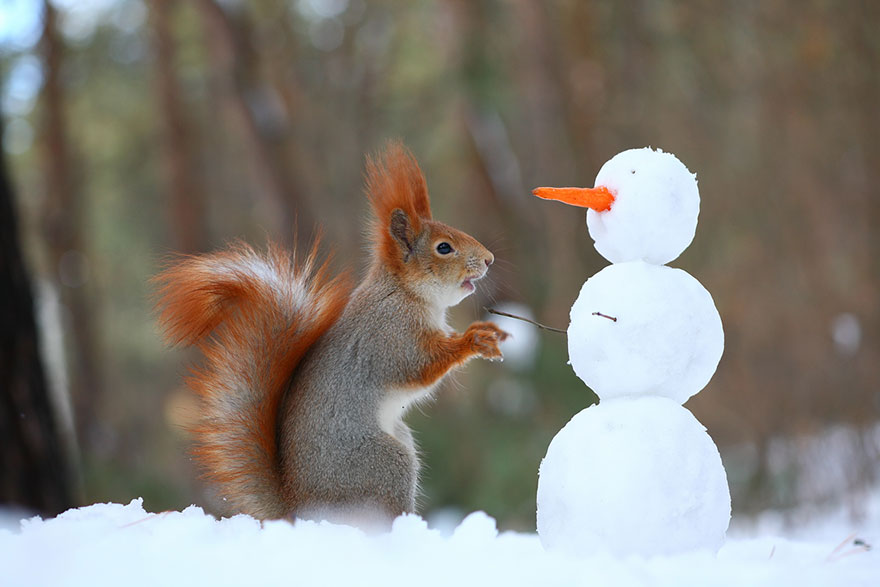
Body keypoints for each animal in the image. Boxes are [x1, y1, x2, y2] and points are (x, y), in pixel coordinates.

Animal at [154, 141, 509, 524]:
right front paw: (474, 340)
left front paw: (488, 330)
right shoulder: (390, 335)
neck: (405, 293)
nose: (489, 259)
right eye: (444, 247)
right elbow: (419, 366)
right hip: (384, 465)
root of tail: (301, 509)